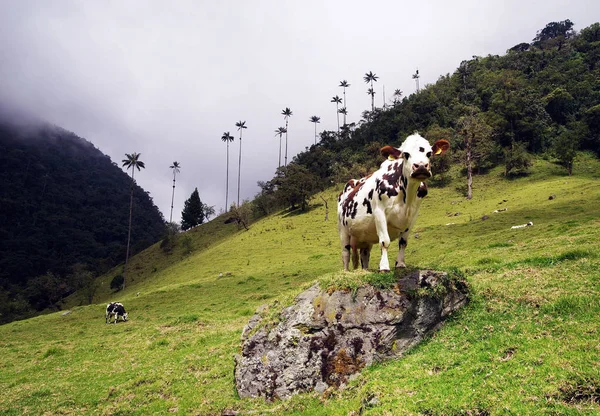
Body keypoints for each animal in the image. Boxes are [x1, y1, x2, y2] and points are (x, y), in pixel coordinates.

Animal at [338, 132, 450, 272]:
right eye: (405, 154)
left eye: (429, 153)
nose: (421, 166)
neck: (406, 197)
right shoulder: (379, 212)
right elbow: (384, 241)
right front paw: (384, 267)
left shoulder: (412, 216)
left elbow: (403, 242)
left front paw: (400, 263)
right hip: (343, 230)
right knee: (345, 253)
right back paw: (346, 271)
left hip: (365, 237)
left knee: (364, 254)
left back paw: (365, 270)